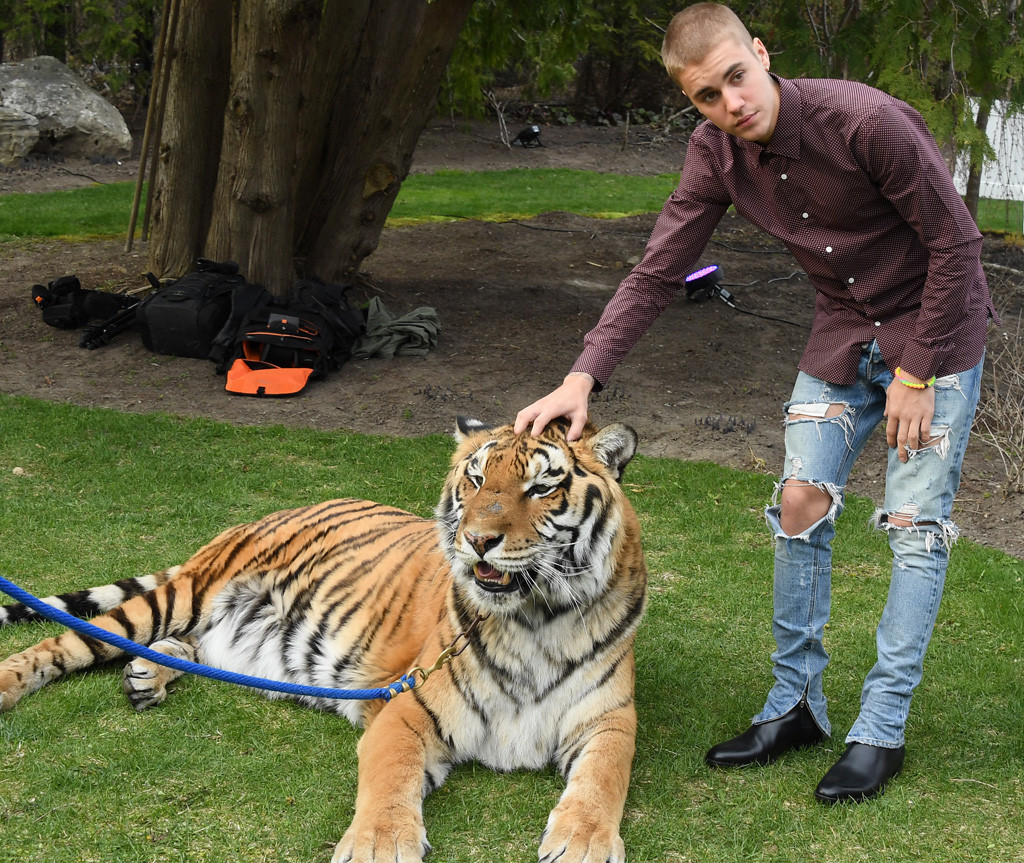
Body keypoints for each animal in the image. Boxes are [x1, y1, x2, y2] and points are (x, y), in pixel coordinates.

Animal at [0, 417, 647, 863]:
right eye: (477, 478)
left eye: (541, 489)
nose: (478, 540)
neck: (536, 618)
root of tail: (258, 519)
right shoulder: (408, 707)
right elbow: (389, 781)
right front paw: (380, 846)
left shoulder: (609, 716)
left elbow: (603, 778)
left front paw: (583, 842)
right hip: (177, 597)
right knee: (62, 644)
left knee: (195, 650)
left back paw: (148, 677)